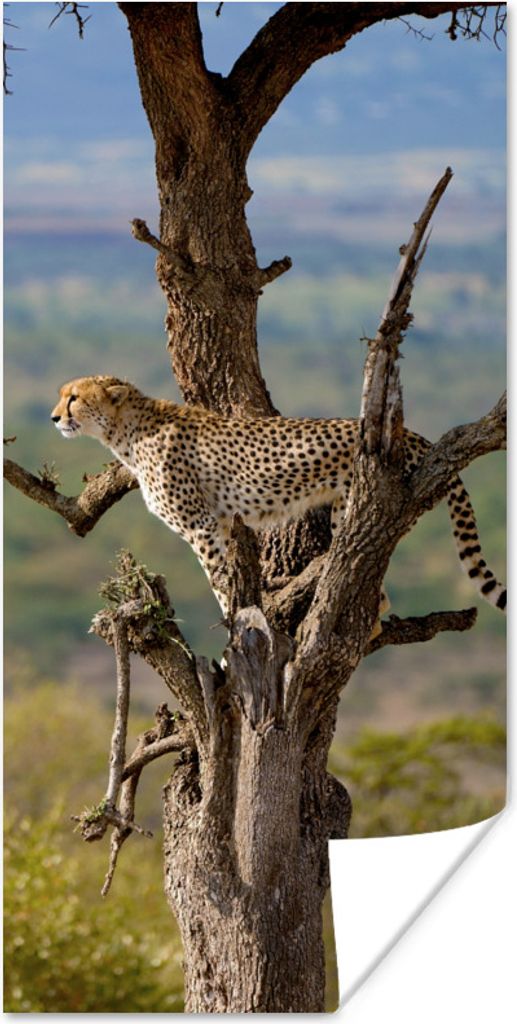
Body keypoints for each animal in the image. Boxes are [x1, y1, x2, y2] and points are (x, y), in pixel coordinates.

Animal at [51, 375, 507, 622]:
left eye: (74, 397)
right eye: (62, 395)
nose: (54, 417)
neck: (126, 431)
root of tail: (411, 434)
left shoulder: (201, 525)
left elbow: (219, 580)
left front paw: (234, 629)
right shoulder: (221, 522)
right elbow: (229, 574)